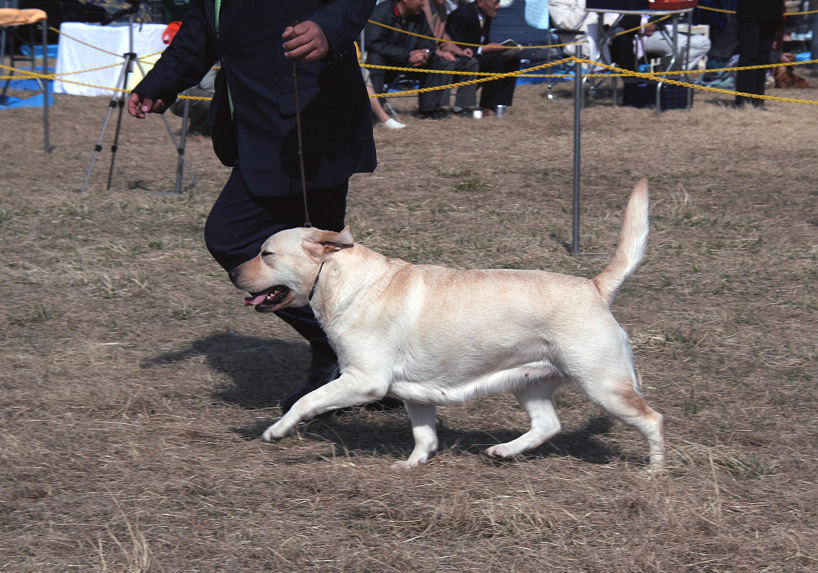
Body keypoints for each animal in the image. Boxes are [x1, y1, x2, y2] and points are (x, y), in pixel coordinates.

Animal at [230, 179, 664, 470]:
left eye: (266, 254)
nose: (232, 272)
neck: (339, 280)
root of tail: (595, 286)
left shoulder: (364, 379)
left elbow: (307, 401)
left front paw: (276, 430)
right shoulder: (415, 394)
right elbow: (424, 434)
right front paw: (411, 465)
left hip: (603, 384)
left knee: (652, 420)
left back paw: (654, 473)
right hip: (530, 383)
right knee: (548, 425)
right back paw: (503, 451)